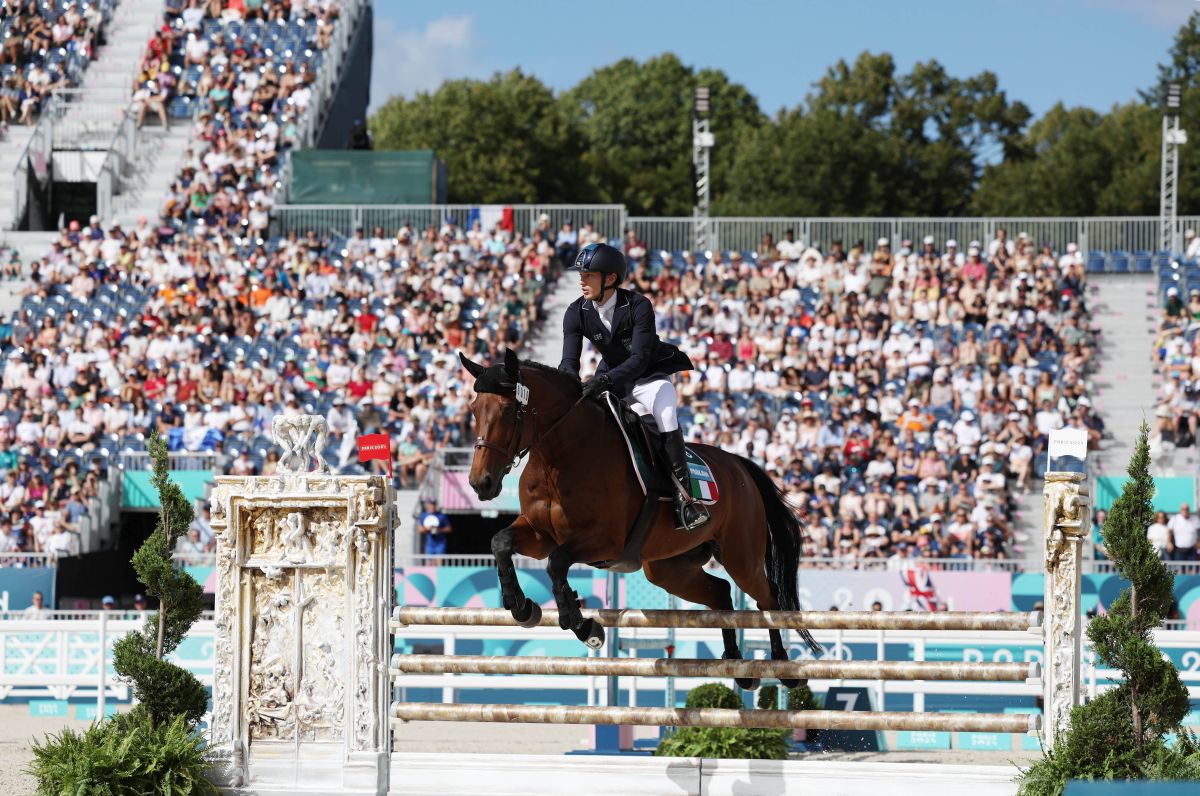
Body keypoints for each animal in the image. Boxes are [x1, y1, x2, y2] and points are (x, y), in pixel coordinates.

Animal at [453, 350, 820, 691]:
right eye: (473, 410)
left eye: (508, 411)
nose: (480, 483)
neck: (558, 456)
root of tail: (740, 465)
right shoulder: (541, 534)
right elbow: (500, 543)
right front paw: (522, 607)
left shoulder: (604, 541)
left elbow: (556, 564)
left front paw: (584, 626)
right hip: (668, 569)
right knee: (720, 593)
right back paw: (736, 665)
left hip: (740, 556)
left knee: (767, 597)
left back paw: (784, 668)